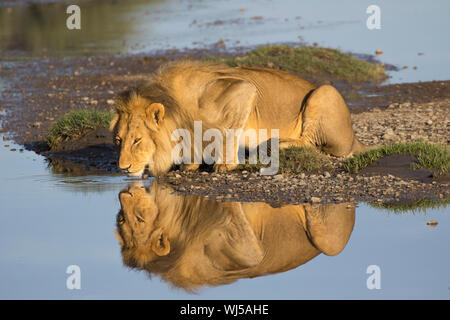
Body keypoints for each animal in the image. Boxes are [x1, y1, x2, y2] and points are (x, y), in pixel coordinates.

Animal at [110, 60, 370, 175]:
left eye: (137, 140)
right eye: (118, 141)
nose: (123, 168)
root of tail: (355, 137)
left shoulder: (243, 90)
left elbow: (227, 133)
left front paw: (225, 165)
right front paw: (190, 163)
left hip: (324, 92)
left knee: (312, 142)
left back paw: (276, 143)